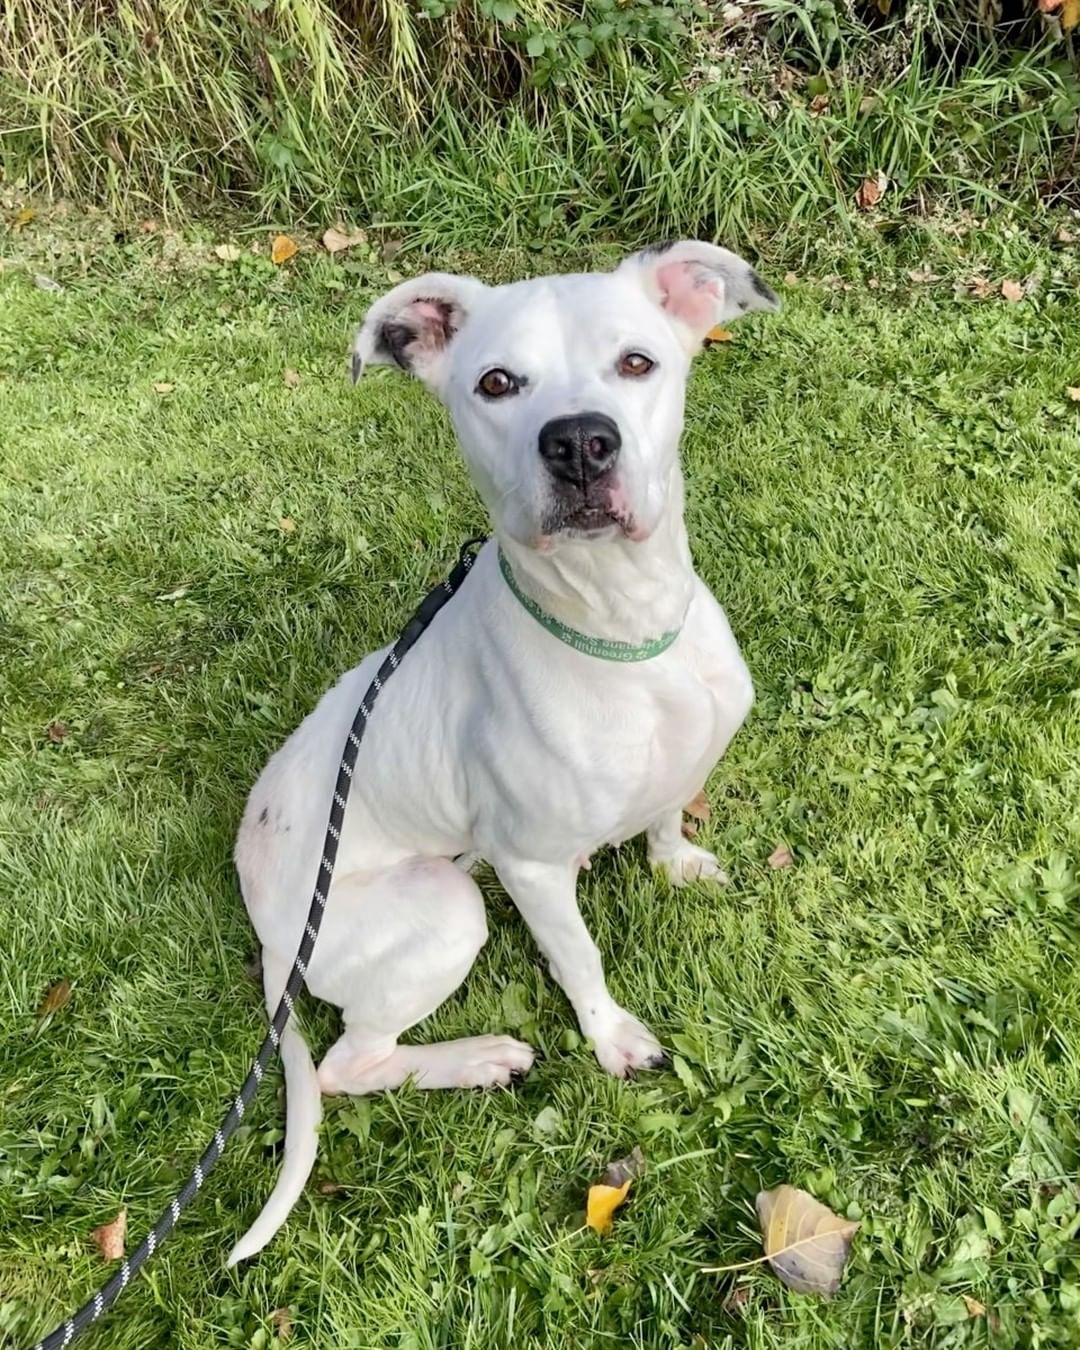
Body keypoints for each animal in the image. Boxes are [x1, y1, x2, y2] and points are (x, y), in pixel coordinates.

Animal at [228, 243, 777, 1263]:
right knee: (347, 1066)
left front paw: (676, 860)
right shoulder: (532, 868)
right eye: (496, 383)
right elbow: (581, 959)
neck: (623, 627)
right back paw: (481, 1057)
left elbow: (666, 815)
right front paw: (612, 1039)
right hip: (447, 910)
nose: (580, 443)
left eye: (636, 362)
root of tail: (270, 928)